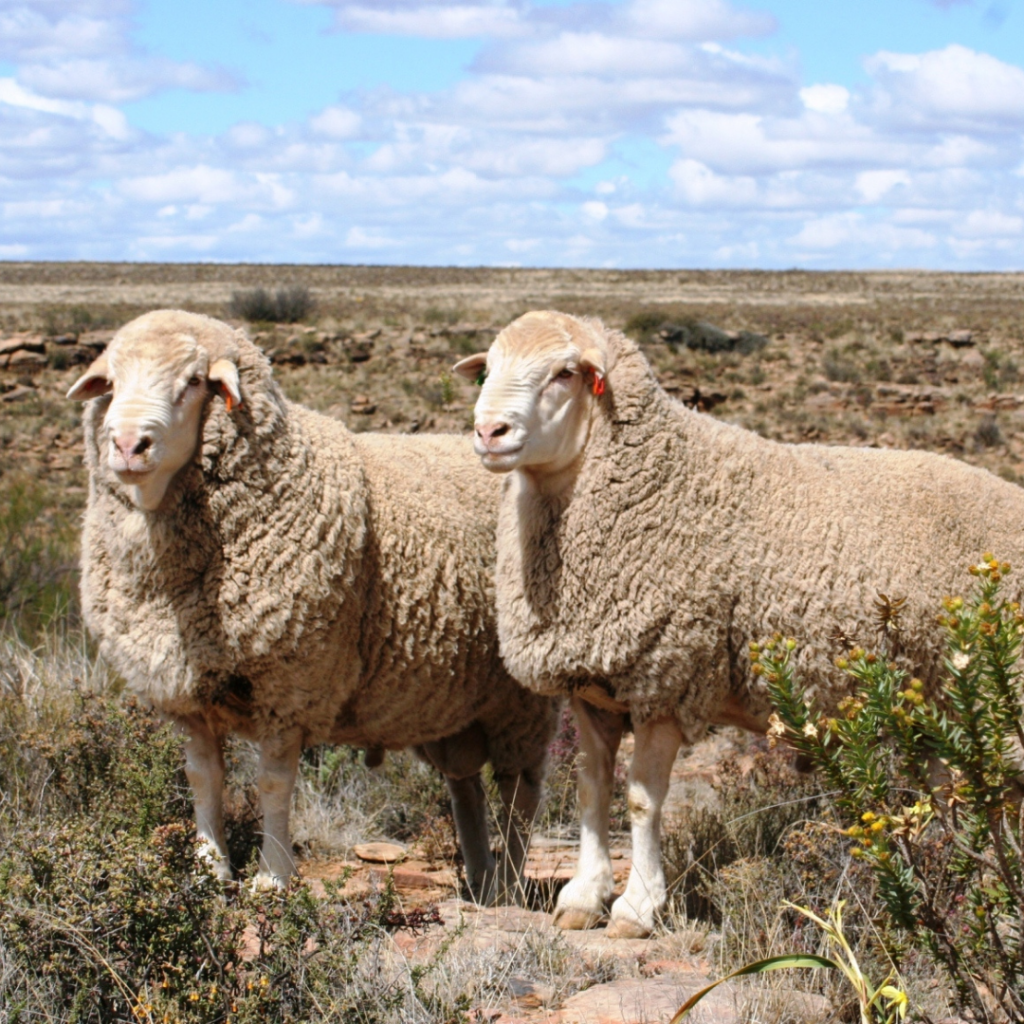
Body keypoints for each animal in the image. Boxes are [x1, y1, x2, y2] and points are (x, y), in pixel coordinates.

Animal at [67, 309, 557, 897]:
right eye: (112, 383)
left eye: (193, 382)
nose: (126, 445)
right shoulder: (186, 691)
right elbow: (202, 779)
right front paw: (209, 869)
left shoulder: (289, 684)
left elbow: (274, 783)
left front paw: (272, 878)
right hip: (453, 701)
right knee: (465, 785)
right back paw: (480, 876)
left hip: (519, 699)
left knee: (520, 790)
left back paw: (508, 881)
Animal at [454, 309, 1024, 937]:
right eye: (488, 368)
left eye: (564, 373)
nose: (489, 433)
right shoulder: (595, 687)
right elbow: (590, 789)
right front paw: (584, 897)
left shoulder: (668, 680)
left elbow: (642, 800)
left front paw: (637, 907)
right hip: (938, 702)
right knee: (958, 792)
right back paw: (944, 872)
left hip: (996, 693)